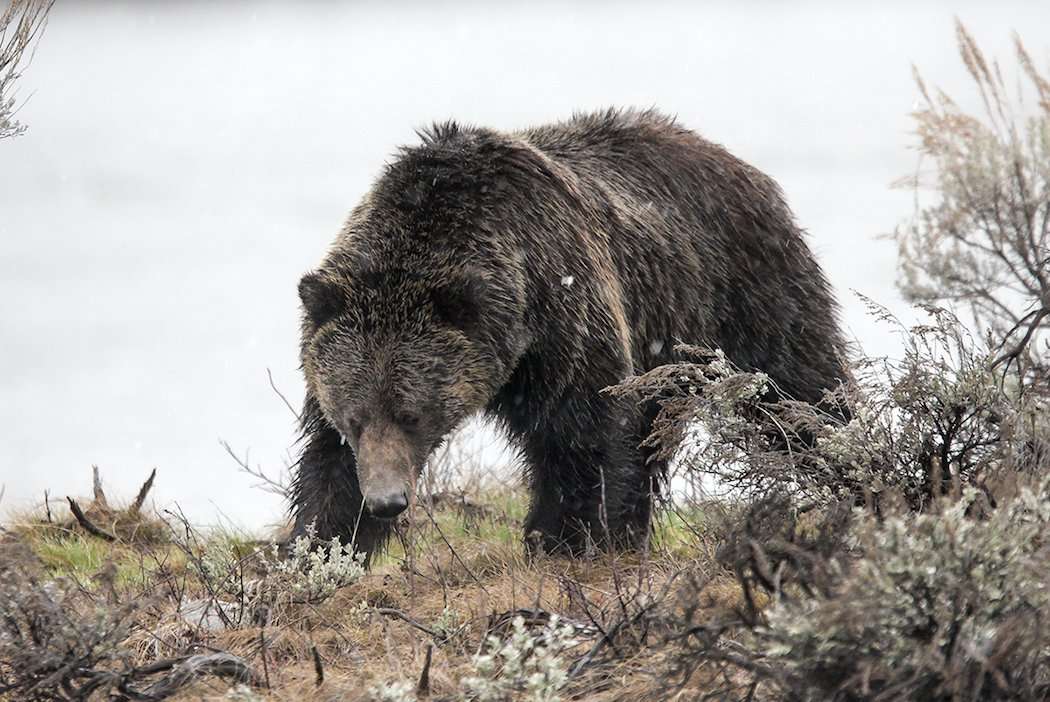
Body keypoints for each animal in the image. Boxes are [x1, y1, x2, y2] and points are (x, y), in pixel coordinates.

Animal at [289, 108, 848, 563]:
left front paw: (563, 537)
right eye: (356, 418)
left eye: (412, 413)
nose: (387, 501)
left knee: (799, 388)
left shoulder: (564, 315)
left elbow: (580, 434)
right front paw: (318, 546)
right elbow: (326, 465)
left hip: (744, 293)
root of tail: (738, 163)